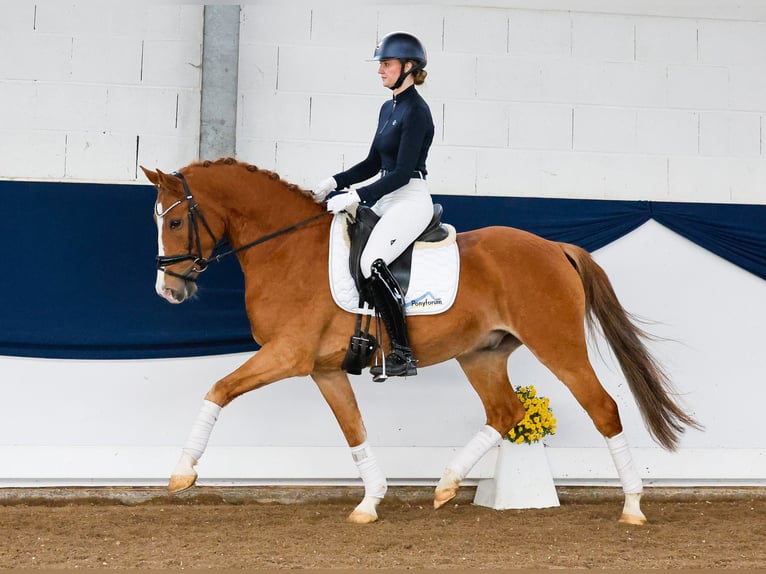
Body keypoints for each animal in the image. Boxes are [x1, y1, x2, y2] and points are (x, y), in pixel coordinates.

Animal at [141, 158, 700, 528]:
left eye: (175, 221)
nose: (169, 292)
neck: (288, 249)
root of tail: (555, 247)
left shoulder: (288, 355)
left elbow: (218, 389)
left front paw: (182, 473)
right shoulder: (323, 368)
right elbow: (353, 430)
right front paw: (369, 502)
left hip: (557, 346)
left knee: (603, 408)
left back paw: (632, 507)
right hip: (481, 354)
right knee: (506, 412)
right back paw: (447, 484)